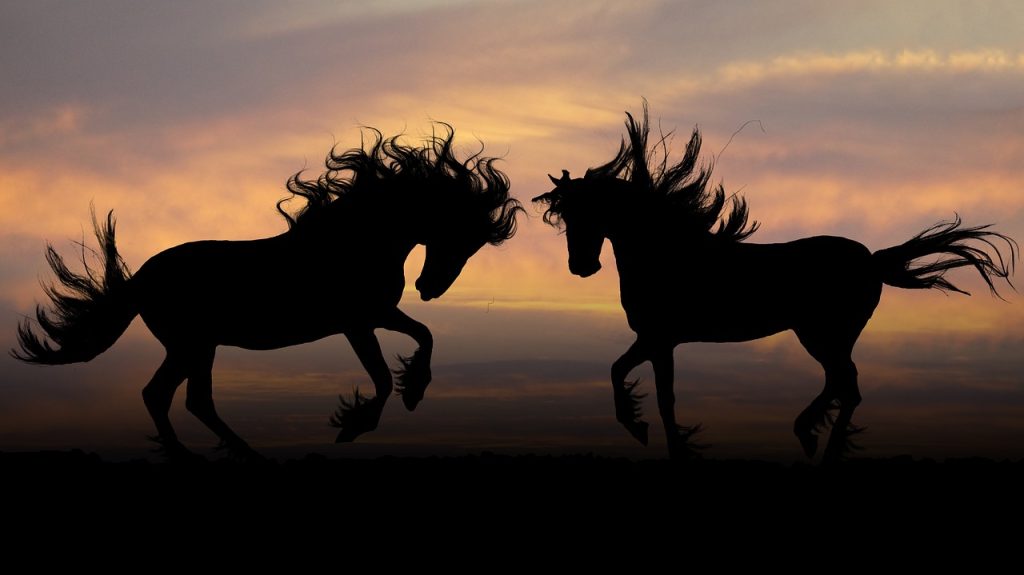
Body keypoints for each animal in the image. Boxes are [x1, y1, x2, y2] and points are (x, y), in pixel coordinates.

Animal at [13, 125, 523, 461]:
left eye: (474, 246)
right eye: (461, 235)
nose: (429, 288)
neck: (355, 240)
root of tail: (142, 278)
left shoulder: (377, 314)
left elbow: (424, 336)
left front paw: (413, 391)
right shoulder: (358, 323)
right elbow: (381, 377)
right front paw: (354, 426)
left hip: (196, 347)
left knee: (183, 398)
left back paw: (230, 455)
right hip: (191, 344)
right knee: (167, 396)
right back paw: (212, 458)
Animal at [534, 105, 1016, 461]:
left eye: (588, 212)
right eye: (563, 216)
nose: (581, 267)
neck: (669, 252)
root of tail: (871, 260)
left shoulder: (660, 338)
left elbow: (655, 393)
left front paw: (651, 435)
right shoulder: (655, 340)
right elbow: (627, 376)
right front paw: (647, 432)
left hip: (822, 333)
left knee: (846, 383)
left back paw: (817, 442)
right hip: (828, 335)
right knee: (842, 384)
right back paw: (813, 438)